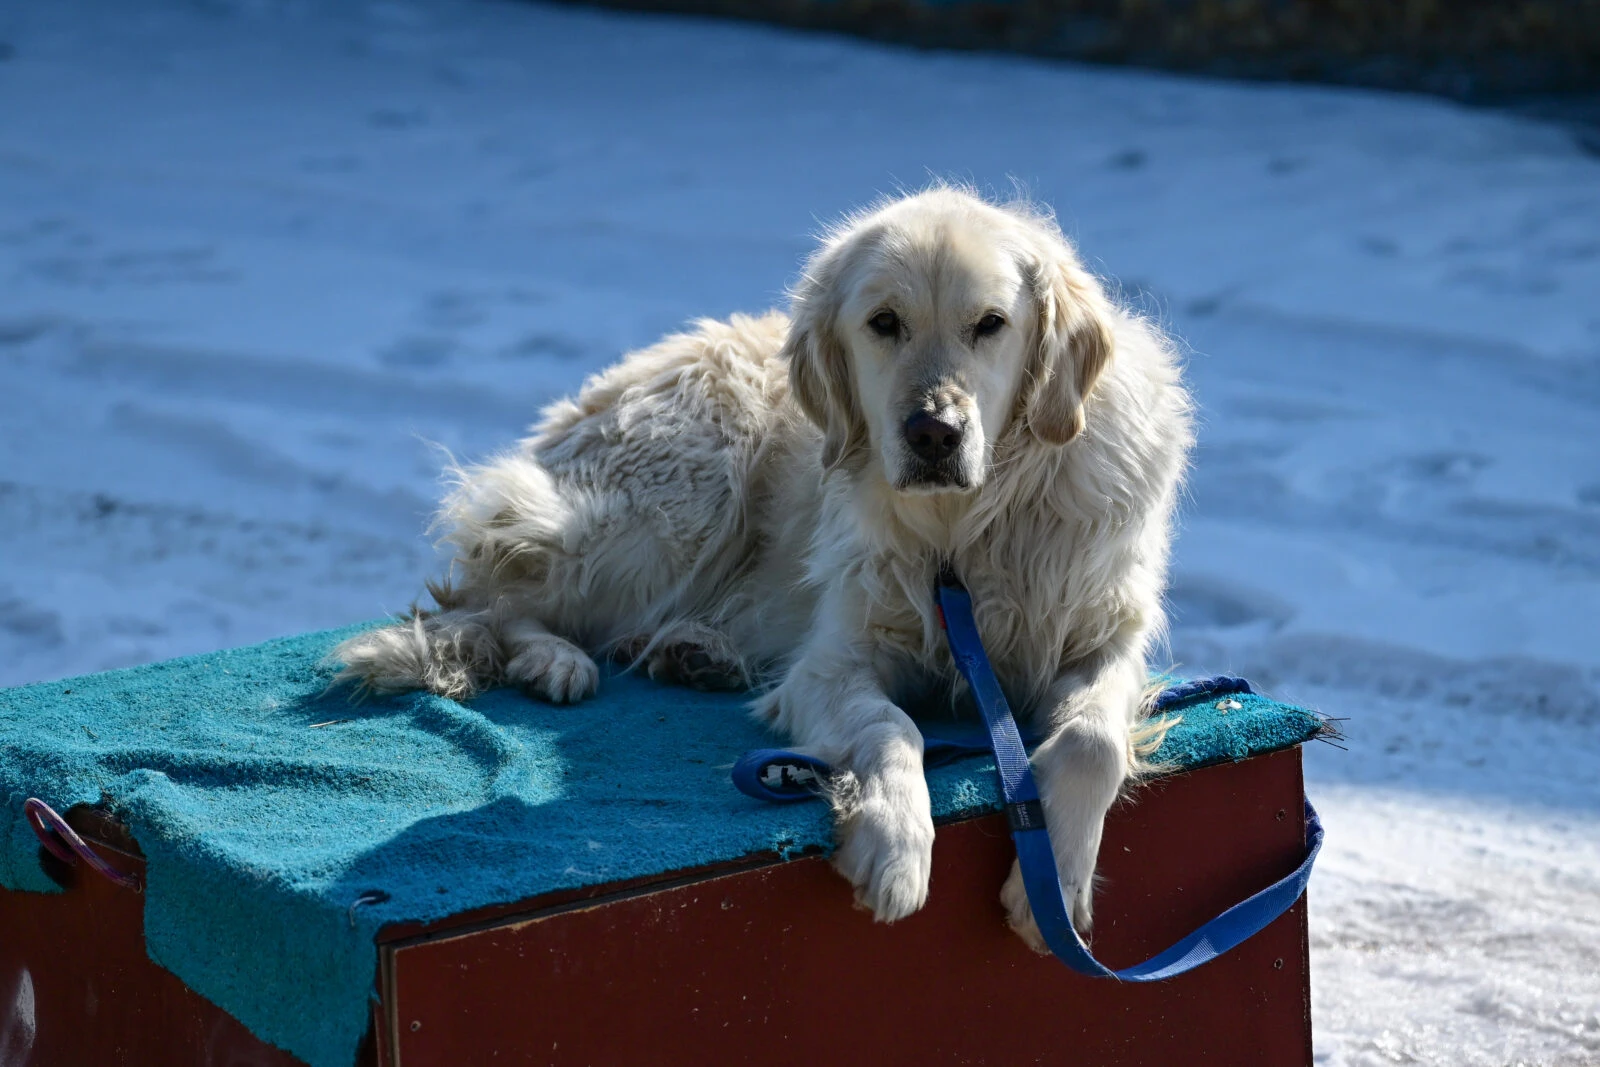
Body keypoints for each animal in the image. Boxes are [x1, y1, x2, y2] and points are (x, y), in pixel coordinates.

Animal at [337, 187, 1190, 947]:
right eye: (884, 323)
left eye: (991, 324)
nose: (933, 432)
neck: (966, 528)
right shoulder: (833, 661)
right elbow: (895, 726)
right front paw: (896, 844)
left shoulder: (1105, 633)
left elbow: (1092, 740)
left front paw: (1059, 884)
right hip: (684, 498)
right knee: (485, 594)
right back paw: (555, 659)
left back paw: (692, 652)